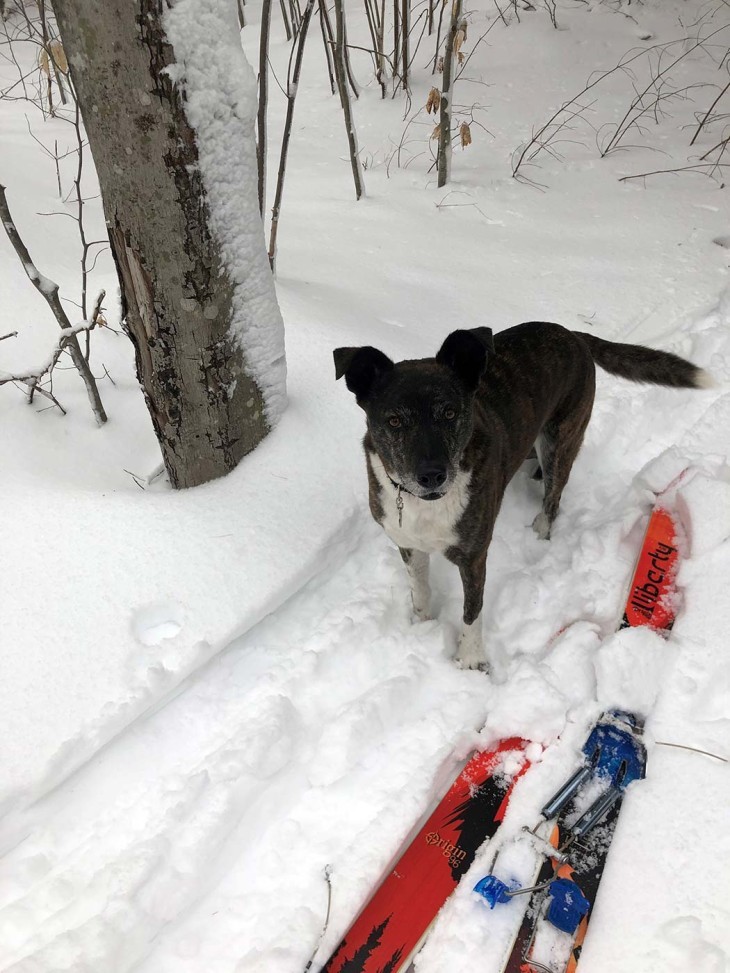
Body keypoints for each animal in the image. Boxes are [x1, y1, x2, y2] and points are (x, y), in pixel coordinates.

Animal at [336, 322, 712, 672]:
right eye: (394, 420)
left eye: (450, 413)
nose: (431, 475)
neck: (424, 502)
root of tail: (571, 333)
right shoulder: (407, 543)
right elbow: (420, 590)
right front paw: (422, 626)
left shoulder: (474, 557)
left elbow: (472, 610)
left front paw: (471, 660)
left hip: (560, 439)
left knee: (553, 498)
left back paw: (540, 529)